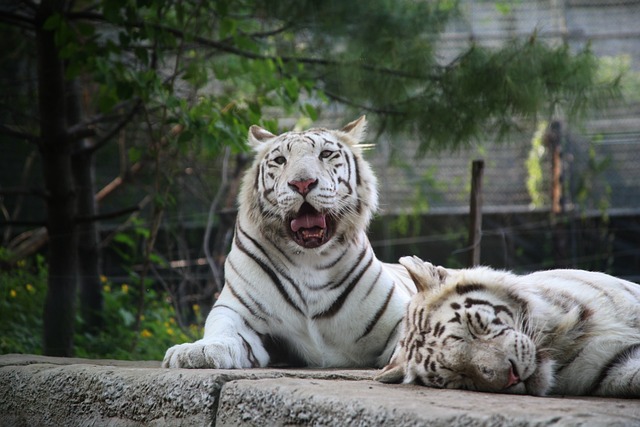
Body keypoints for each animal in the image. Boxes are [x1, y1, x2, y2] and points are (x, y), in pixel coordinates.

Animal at [162, 118, 418, 372]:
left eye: (326, 154)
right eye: (280, 160)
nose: (302, 183)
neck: (311, 260)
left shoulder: (400, 314)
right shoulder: (235, 310)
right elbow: (223, 330)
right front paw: (195, 351)